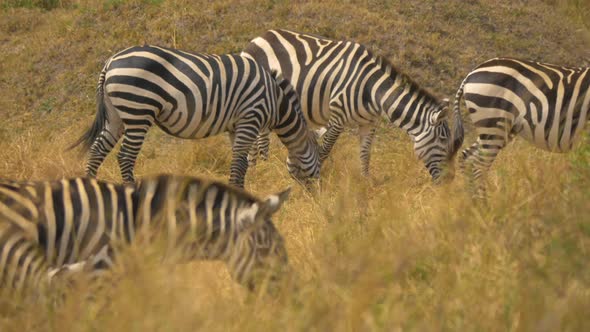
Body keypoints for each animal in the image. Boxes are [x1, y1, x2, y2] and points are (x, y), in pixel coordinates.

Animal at [71, 44, 322, 187]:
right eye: (320, 158)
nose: (317, 190)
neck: (275, 101)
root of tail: (111, 61)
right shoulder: (250, 118)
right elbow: (240, 162)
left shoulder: (237, 125)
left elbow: (243, 162)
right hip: (138, 111)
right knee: (125, 157)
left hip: (116, 116)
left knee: (97, 150)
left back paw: (91, 189)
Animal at [243, 28, 464, 180]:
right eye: (443, 140)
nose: (450, 179)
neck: (372, 91)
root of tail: (259, 37)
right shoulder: (337, 116)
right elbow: (325, 149)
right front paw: (318, 175)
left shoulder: (369, 122)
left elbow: (365, 154)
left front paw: (365, 182)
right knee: (258, 137)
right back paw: (260, 166)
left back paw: (257, 166)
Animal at [458, 57, 590, 198]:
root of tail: (472, 72)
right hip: (492, 124)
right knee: (478, 168)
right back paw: (484, 203)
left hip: (499, 130)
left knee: (467, 158)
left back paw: (472, 202)